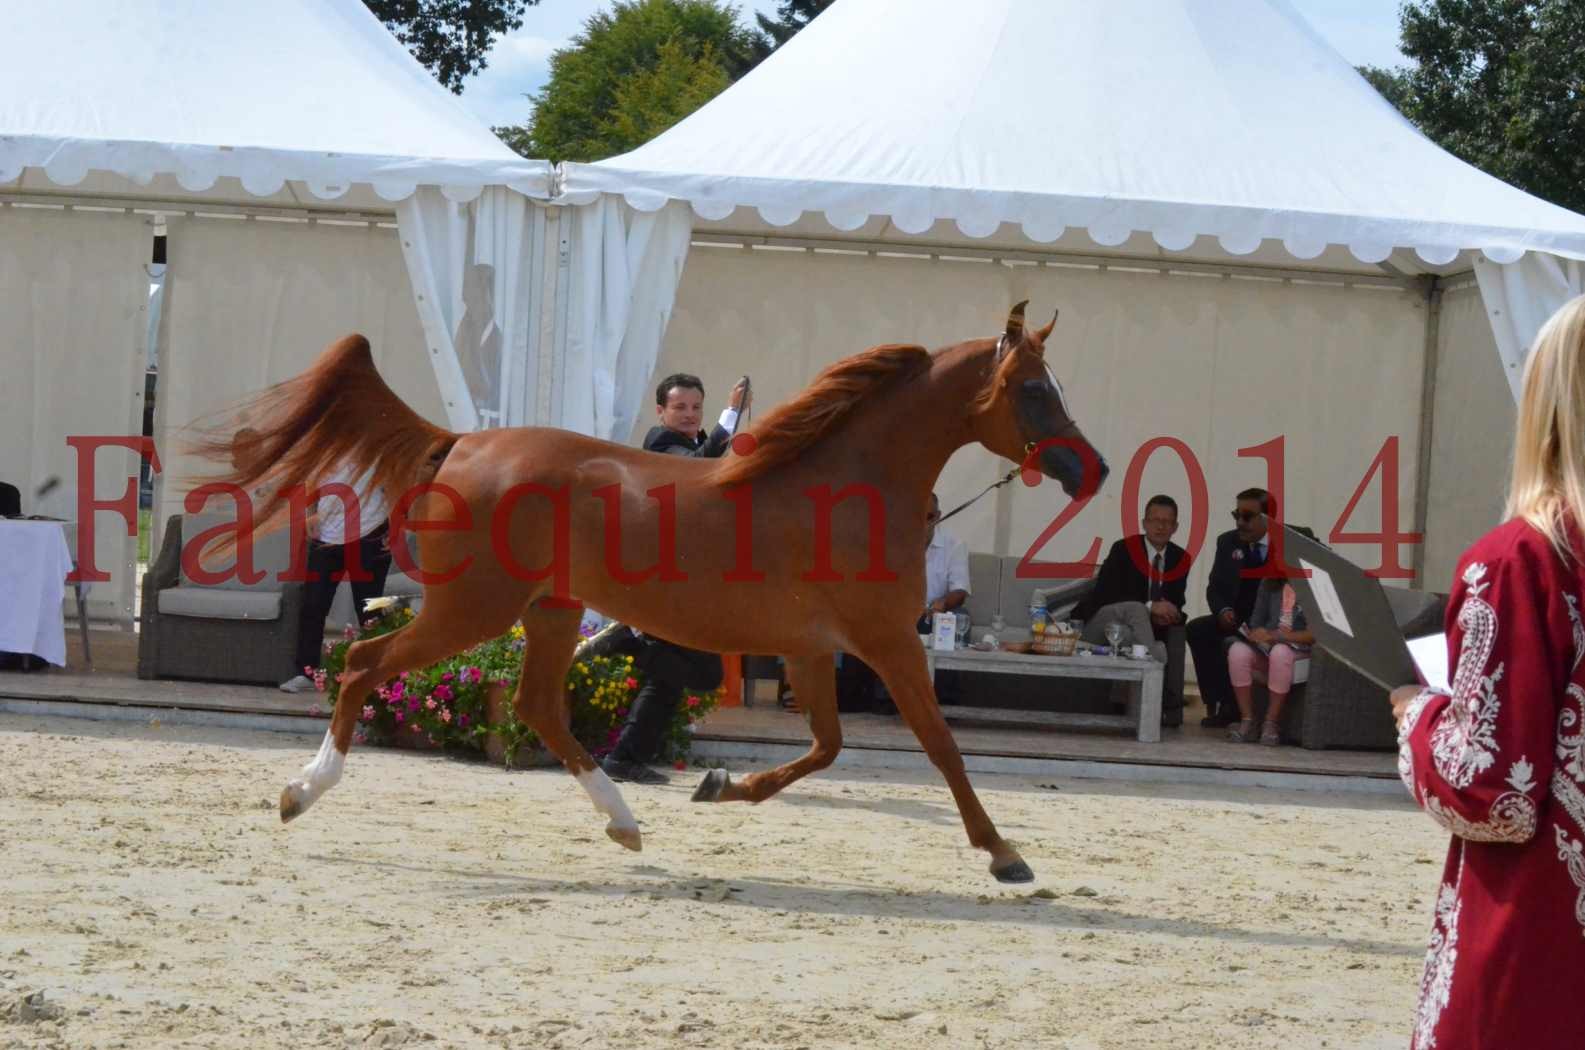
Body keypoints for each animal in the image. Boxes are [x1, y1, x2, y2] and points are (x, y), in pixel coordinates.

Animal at [207, 304, 1103, 888]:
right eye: (1033, 391)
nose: (1088, 472)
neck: (847, 489)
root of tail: (459, 443)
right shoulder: (885, 642)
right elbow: (939, 745)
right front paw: (1006, 856)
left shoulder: (813, 649)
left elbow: (826, 747)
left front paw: (721, 787)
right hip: (473, 609)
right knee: (362, 662)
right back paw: (299, 793)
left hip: (549, 611)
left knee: (536, 706)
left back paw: (624, 824)